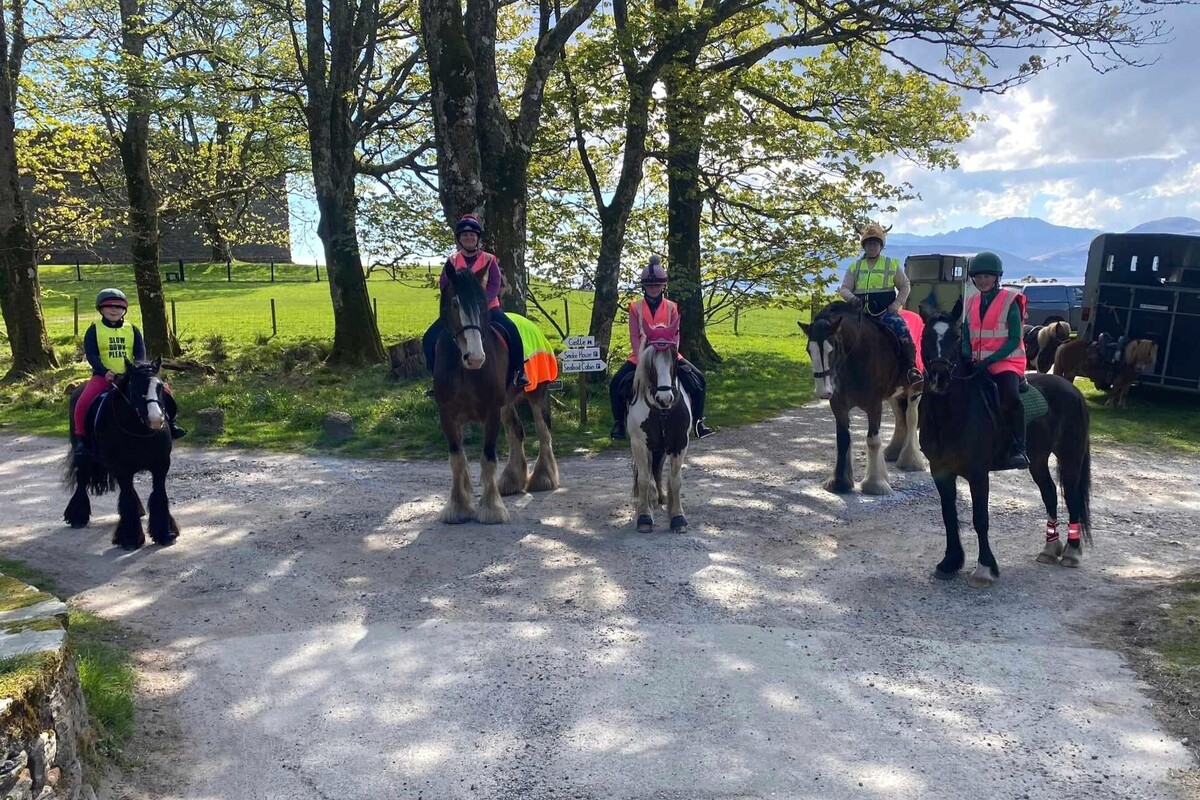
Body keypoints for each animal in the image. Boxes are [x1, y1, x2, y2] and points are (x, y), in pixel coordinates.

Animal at [63, 357, 178, 551]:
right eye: (136, 387)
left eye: (160, 387)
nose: (156, 419)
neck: (140, 430)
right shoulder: (122, 468)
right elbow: (127, 499)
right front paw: (130, 538)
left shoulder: (161, 465)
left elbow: (159, 495)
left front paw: (166, 534)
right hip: (84, 457)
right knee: (82, 479)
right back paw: (77, 516)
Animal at [434, 266, 559, 522]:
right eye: (454, 303)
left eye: (482, 304)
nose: (475, 357)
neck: (464, 370)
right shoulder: (447, 414)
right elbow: (457, 460)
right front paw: (458, 506)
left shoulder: (491, 411)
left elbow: (488, 459)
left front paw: (491, 508)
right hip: (507, 404)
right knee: (516, 433)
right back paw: (511, 480)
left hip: (537, 394)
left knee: (543, 433)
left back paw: (543, 478)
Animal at [624, 328, 691, 534]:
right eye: (651, 363)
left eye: (674, 358)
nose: (665, 398)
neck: (661, 411)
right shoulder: (639, 444)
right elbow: (644, 479)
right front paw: (645, 516)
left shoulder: (680, 442)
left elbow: (676, 480)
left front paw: (678, 517)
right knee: (648, 471)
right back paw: (651, 499)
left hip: (661, 446)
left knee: (658, 468)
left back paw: (660, 496)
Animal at [796, 302, 926, 494]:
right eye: (808, 350)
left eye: (833, 348)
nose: (823, 392)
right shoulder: (838, 405)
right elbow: (843, 440)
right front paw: (840, 482)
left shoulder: (874, 405)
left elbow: (873, 441)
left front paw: (875, 483)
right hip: (894, 394)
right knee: (900, 418)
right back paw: (894, 452)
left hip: (915, 388)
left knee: (911, 418)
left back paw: (911, 460)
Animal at [916, 299, 1099, 587]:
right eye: (925, 337)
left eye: (956, 337)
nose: (939, 377)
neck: (953, 412)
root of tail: (1073, 390)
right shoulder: (941, 471)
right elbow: (948, 516)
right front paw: (950, 562)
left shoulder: (979, 473)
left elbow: (980, 518)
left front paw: (985, 568)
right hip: (1037, 460)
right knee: (1049, 493)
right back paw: (1050, 549)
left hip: (1070, 457)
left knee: (1071, 497)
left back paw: (1071, 551)